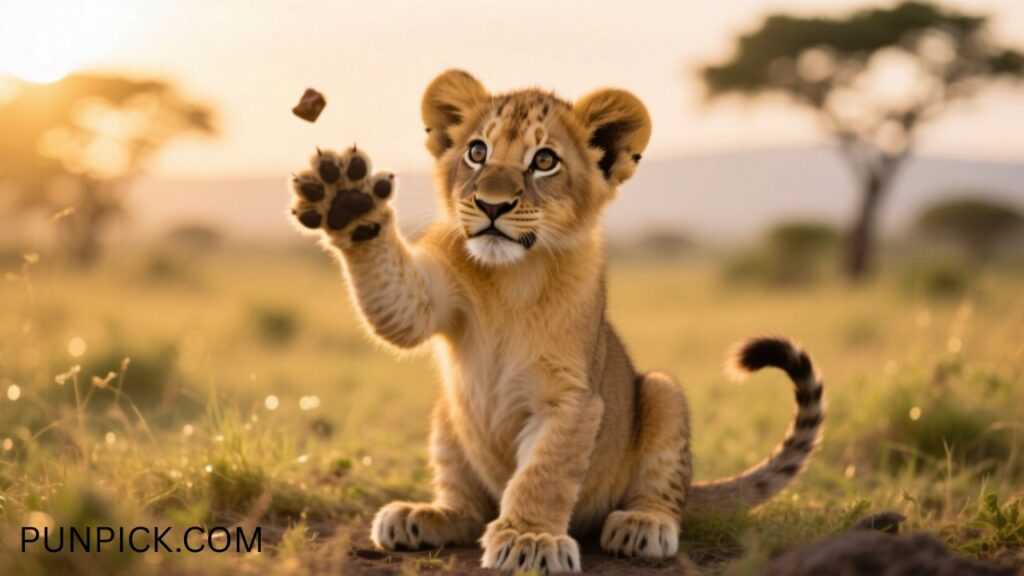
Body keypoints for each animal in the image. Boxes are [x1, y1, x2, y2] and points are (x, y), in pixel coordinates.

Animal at [287, 70, 825, 573]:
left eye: (544, 161)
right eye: (477, 152)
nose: (492, 205)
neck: (510, 276)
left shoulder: (571, 396)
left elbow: (543, 473)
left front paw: (529, 539)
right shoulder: (427, 299)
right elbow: (398, 311)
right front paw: (346, 202)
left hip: (661, 391)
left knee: (664, 487)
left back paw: (643, 525)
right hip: (446, 417)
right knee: (468, 507)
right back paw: (421, 516)